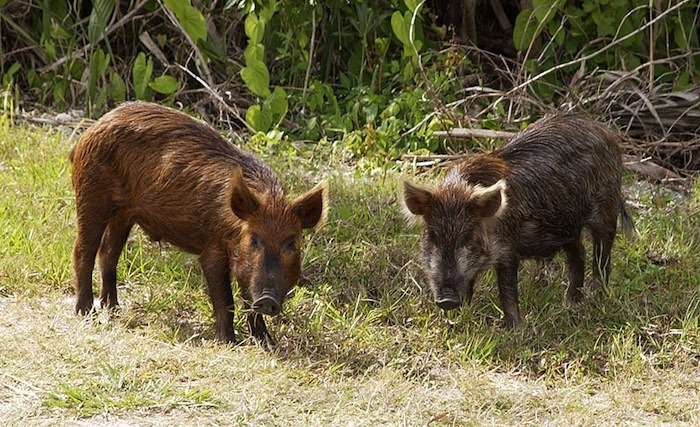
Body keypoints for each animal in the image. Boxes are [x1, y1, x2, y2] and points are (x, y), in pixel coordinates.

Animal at [71, 102, 328, 342]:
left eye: (291, 243)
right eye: (254, 239)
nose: (268, 299)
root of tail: (91, 129)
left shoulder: (244, 265)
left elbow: (247, 300)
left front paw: (267, 342)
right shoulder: (212, 249)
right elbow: (225, 299)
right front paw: (229, 342)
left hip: (123, 214)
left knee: (108, 253)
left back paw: (113, 308)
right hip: (91, 195)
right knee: (83, 251)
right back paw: (86, 312)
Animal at [400, 113, 636, 328]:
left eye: (467, 237)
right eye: (432, 236)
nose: (447, 300)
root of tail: (606, 132)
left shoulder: (507, 249)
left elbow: (507, 290)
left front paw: (514, 329)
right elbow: (469, 284)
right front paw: (458, 318)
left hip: (605, 211)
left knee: (602, 259)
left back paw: (597, 300)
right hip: (568, 227)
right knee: (578, 254)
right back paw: (571, 302)